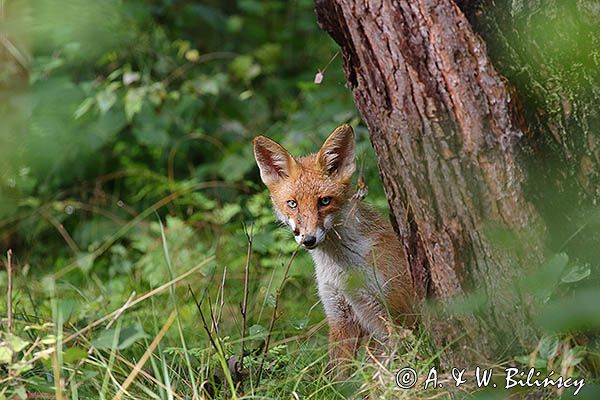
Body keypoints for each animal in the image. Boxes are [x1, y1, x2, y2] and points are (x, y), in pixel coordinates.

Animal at [251, 124, 414, 376]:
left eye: (324, 201)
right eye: (292, 204)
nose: (308, 239)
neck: (343, 270)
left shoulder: (395, 312)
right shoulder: (339, 315)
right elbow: (339, 376)